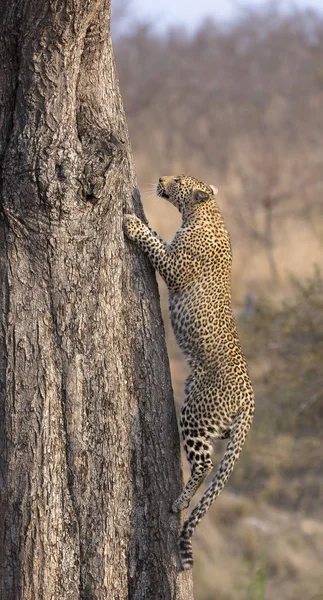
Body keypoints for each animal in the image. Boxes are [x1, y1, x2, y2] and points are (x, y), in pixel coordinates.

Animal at [124, 175, 256, 572]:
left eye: (180, 181)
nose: (162, 178)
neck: (205, 211)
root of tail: (249, 398)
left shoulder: (176, 267)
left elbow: (154, 245)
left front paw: (132, 223)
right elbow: (158, 236)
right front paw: (142, 219)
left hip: (196, 413)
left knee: (205, 463)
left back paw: (179, 502)